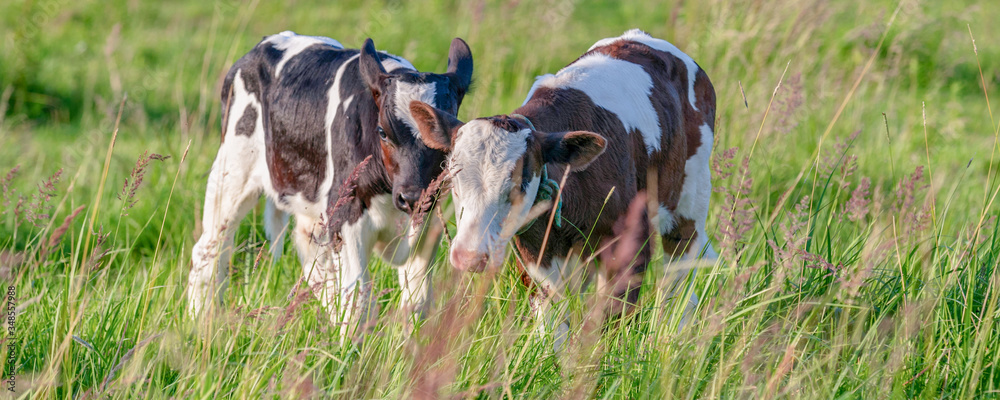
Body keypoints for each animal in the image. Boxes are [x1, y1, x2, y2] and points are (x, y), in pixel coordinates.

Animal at [189, 32, 474, 338]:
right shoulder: (346, 217)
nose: (411, 197)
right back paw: (201, 322)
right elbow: (359, 300)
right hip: (232, 171)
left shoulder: (429, 223)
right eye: (383, 132)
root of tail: (265, 43)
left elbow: (417, 302)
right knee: (210, 248)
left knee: (314, 260)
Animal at [410, 28, 716, 346]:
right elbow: (553, 322)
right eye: (453, 178)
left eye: (520, 183)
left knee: (679, 279)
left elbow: (611, 318)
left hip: (689, 204)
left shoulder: (630, 243)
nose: (469, 258)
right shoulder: (535, 253)